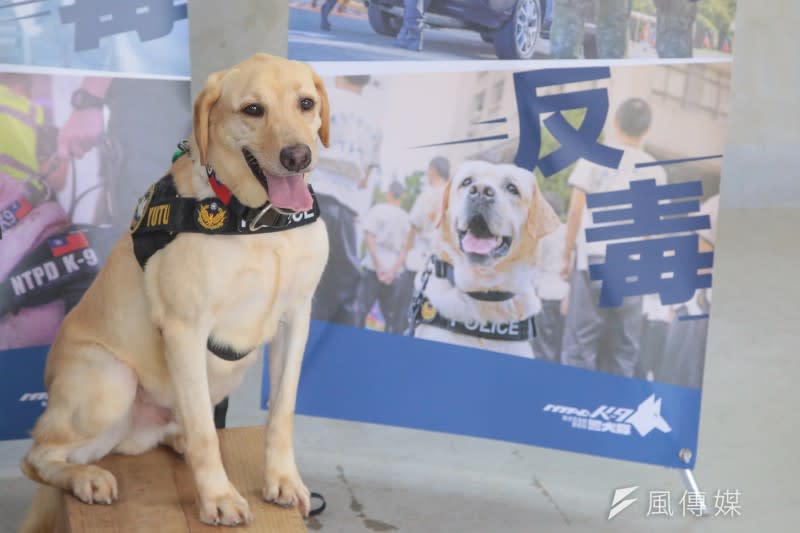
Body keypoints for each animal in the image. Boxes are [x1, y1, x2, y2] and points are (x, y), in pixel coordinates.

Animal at [20, 54, 330, 528]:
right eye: (253, 109)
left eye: (306, 103)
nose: (297, 156)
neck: (257, 222)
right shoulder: (186, 330)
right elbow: (205, 431)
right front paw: (218, 496)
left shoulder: (297, 318)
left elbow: (281, 412)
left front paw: (282, 480)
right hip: (111, 380)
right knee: (38, 456)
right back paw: (86, 477)